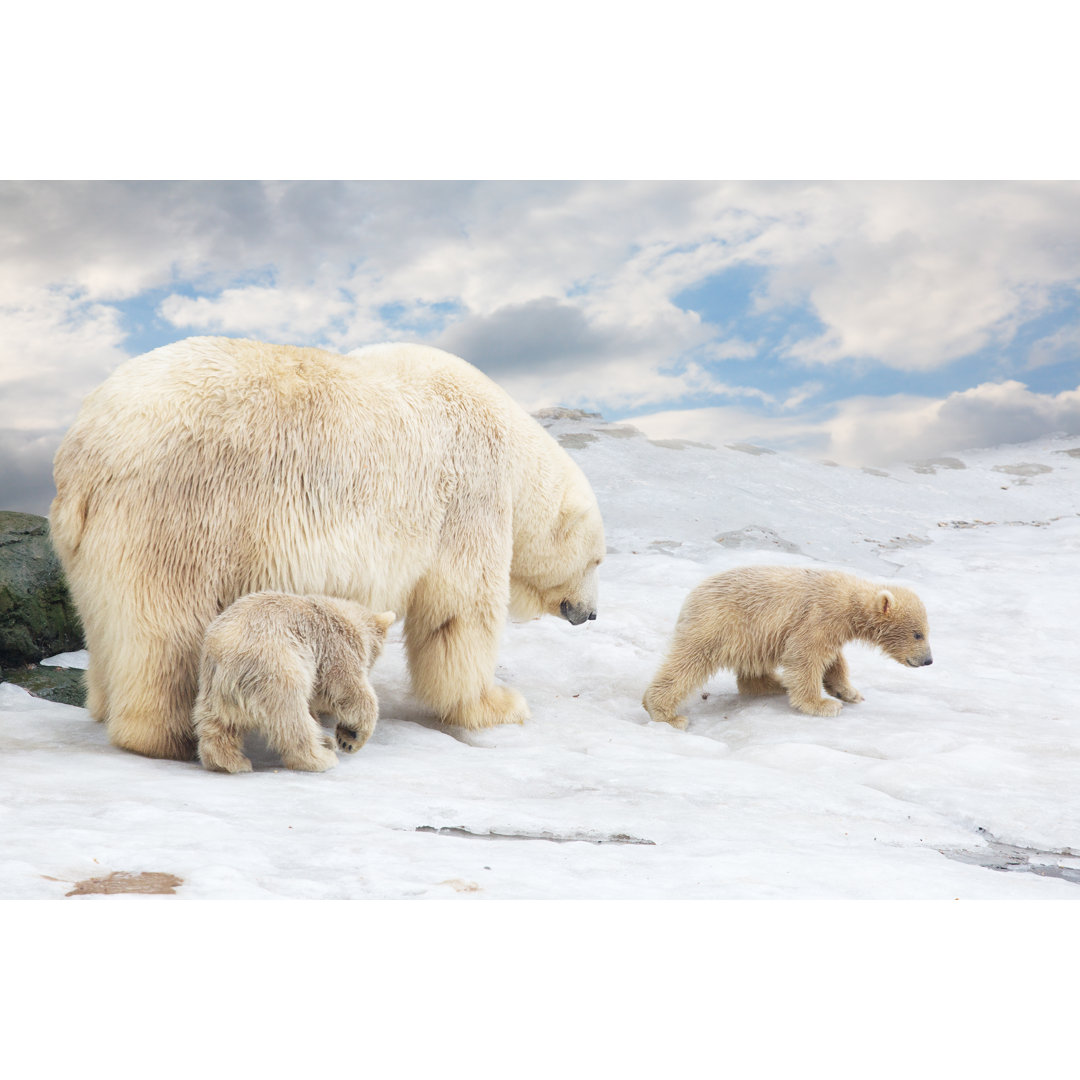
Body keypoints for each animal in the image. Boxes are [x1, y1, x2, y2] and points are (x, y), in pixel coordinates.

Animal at [192, 592, 395, 774]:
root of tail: (224, 655)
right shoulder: (334, 647)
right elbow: (347, 689)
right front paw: (350, 738)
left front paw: (333, 739)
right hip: (275, 671)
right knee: (292, 718)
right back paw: (320, 758)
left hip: (214, 687)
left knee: (217, 723)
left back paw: (228, 762)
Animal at [642, 566, 932, 728]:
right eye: (918, 634)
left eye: (926, 632)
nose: (928, 660)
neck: (849, 600)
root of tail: (691, 598)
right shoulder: (819, 615)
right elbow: (805, 655)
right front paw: (822, 705)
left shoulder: (832, 627)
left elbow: (833, 659)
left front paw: (848, 693)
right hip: (720, 624)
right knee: (688, 663)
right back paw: (665, 713)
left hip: (750, 637)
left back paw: (773, 684)